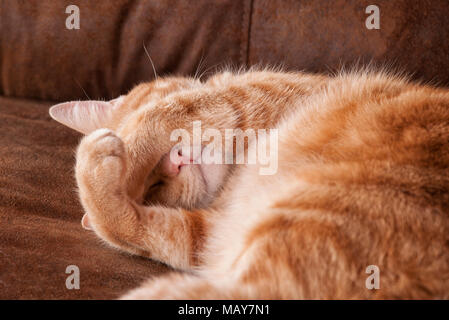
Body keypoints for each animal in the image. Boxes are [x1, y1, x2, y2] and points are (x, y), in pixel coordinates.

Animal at [49, 69, 448, 298]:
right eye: (154, 187)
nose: (175, 162)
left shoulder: (243, 95)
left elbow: (158, 113)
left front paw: (127, 144)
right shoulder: (213, 233)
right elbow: (139, 229)